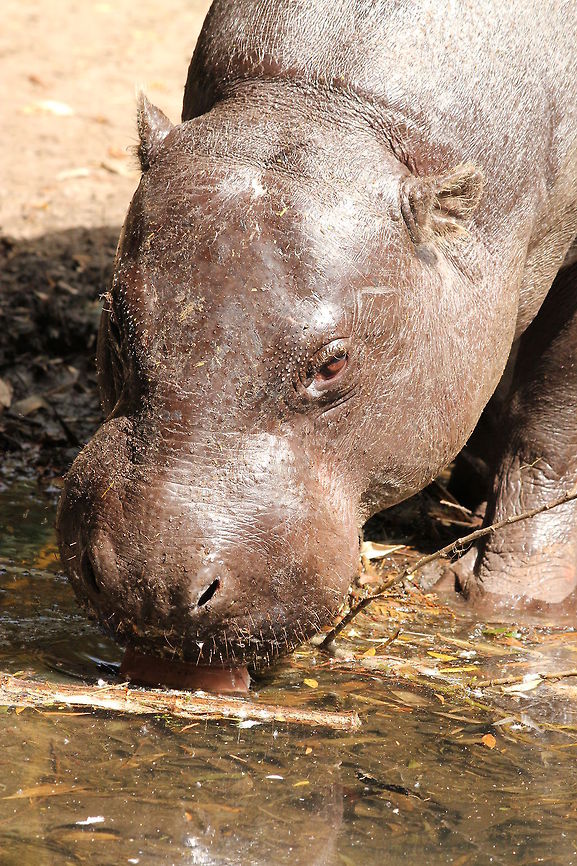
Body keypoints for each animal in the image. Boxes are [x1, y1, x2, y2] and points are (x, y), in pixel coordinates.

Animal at [57, 0, 577, 682]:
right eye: (115, 323)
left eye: (332, 365)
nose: (155, 587)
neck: (331, 104)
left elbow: (552, 432)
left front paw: (497, 600)